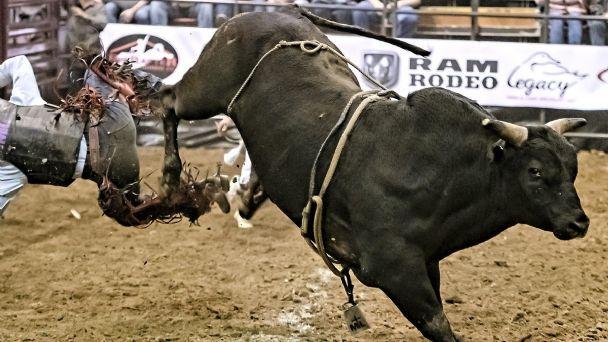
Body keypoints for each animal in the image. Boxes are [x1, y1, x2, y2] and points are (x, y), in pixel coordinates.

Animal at [157, 8, 588, 342]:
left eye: (573, 168)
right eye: (535, 171)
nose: (579, 222)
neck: (436, 171)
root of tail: (271, 12)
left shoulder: (427, 262)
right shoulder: (395, 270)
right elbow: (438, 325)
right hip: (205, 89)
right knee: (167, 99)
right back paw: (169, 181)